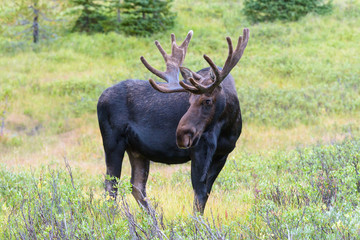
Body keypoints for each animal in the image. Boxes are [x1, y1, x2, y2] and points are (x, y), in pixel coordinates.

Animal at [97, 28, 250, 214]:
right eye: (189, 99)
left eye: (207, 100)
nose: (181, 135)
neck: (228, 126)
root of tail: (100, 99)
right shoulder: (199, 150)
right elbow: (199, 195)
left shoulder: (222, 154)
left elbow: (205, 195)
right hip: (113, 143)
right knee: (111, 186)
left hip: (137, 150)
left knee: (137, 185)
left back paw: (155, 220)